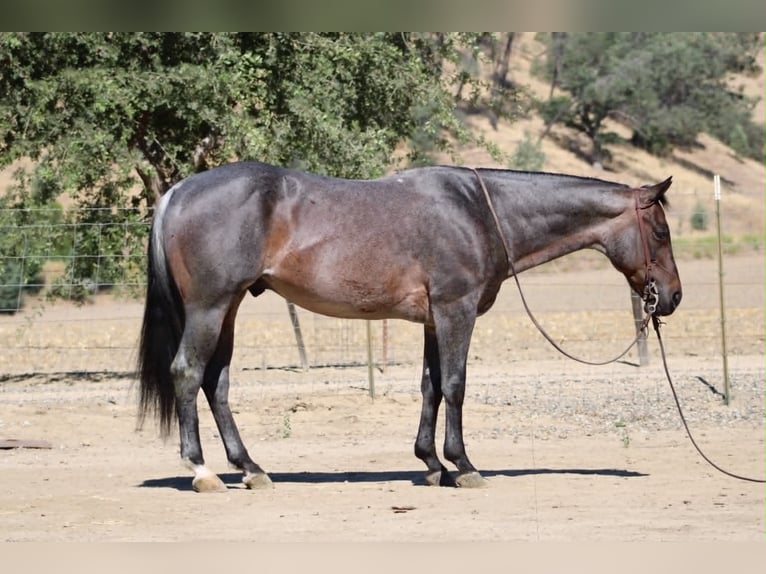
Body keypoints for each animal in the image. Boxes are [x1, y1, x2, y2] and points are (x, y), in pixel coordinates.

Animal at [137, 161, 682, 492]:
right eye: (660, 231)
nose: (673, 297)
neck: (480, 212)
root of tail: (177, 192)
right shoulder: (457, 310)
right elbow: (456, 385)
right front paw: (464, 466)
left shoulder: (433, 320)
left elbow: (430, 386)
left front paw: (431, 464)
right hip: (210, 307)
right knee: (188, 373)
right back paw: (202, 470)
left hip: (227, 309)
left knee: (216, 383)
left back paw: (251, 469)